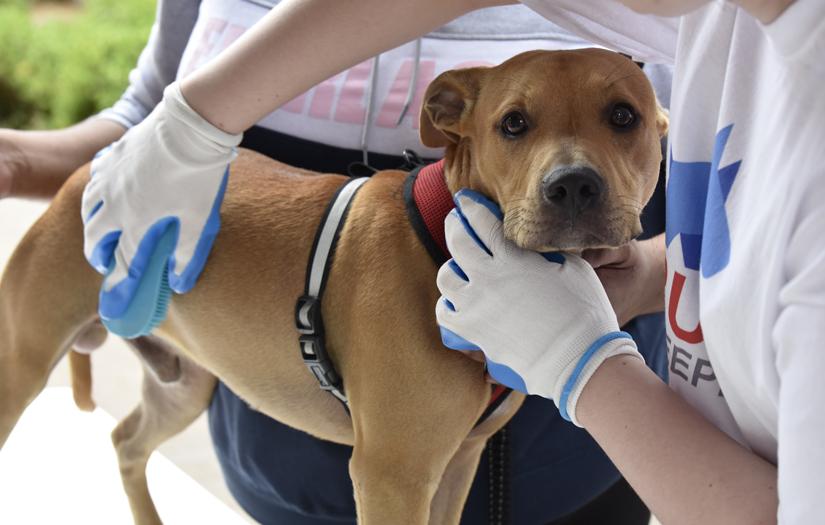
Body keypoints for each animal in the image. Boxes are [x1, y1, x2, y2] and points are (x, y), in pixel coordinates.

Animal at [0, 49, 664, 524]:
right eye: (513, 124)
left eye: (623, 116)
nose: (572, 185)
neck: (442, 235)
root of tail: (91, 168)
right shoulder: (391, 475)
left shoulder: (457, 462)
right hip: (24, 362)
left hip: (184, 383)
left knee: (127, 440)